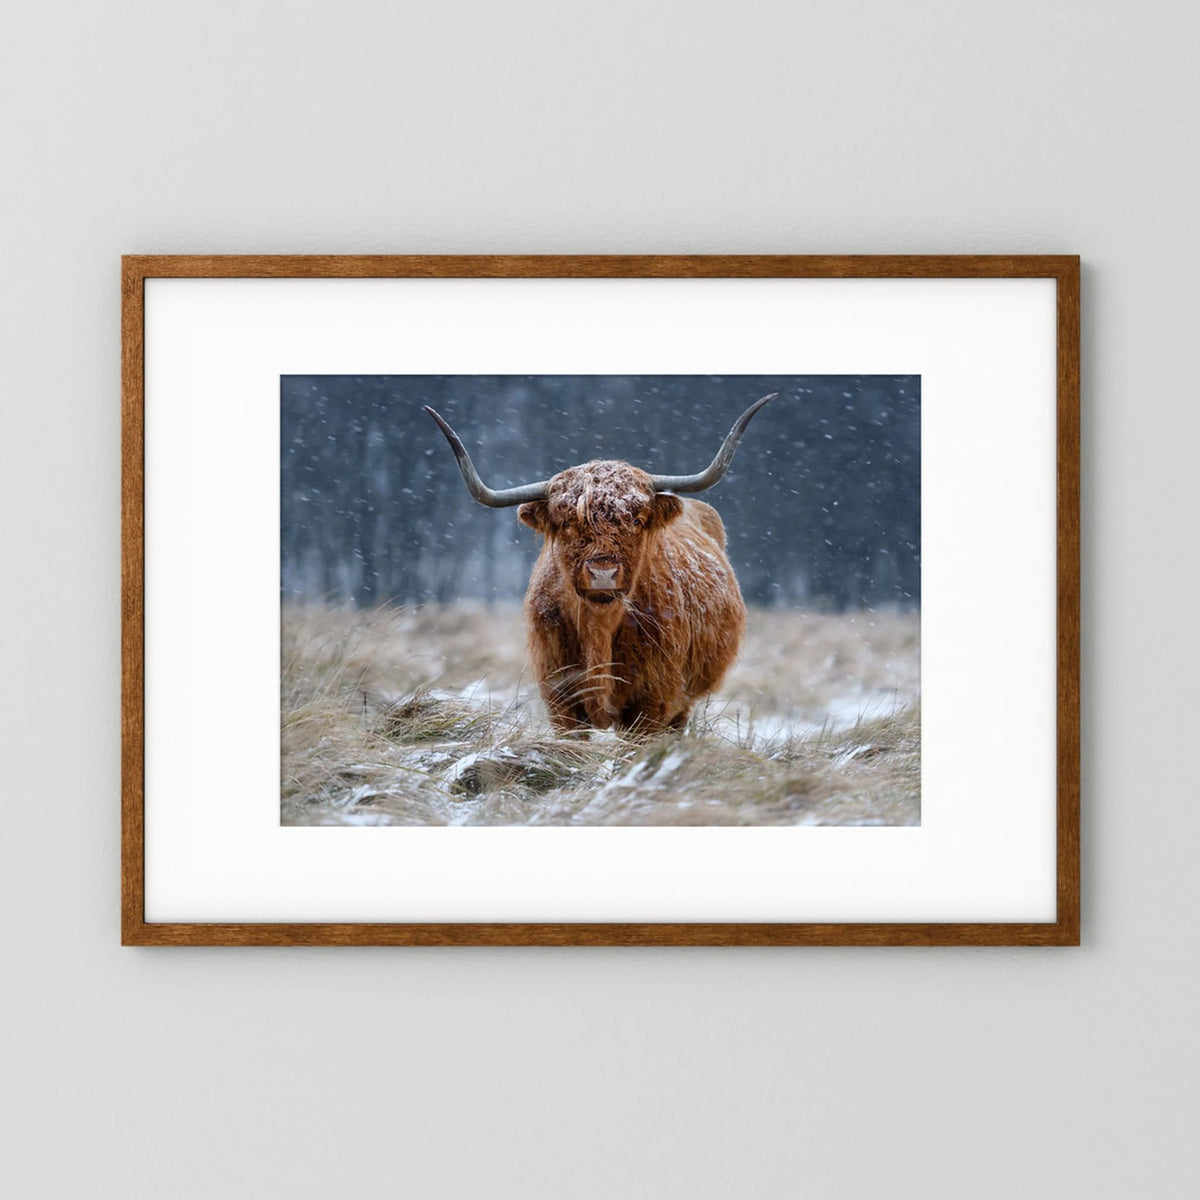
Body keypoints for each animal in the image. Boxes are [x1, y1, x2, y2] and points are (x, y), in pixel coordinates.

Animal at [424, 394, 777, 734]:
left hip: (683, 702)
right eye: (567, 522)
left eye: (635, 519)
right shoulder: (560, 699)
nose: (603, 573)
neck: (599, 628)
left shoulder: (653, 702)